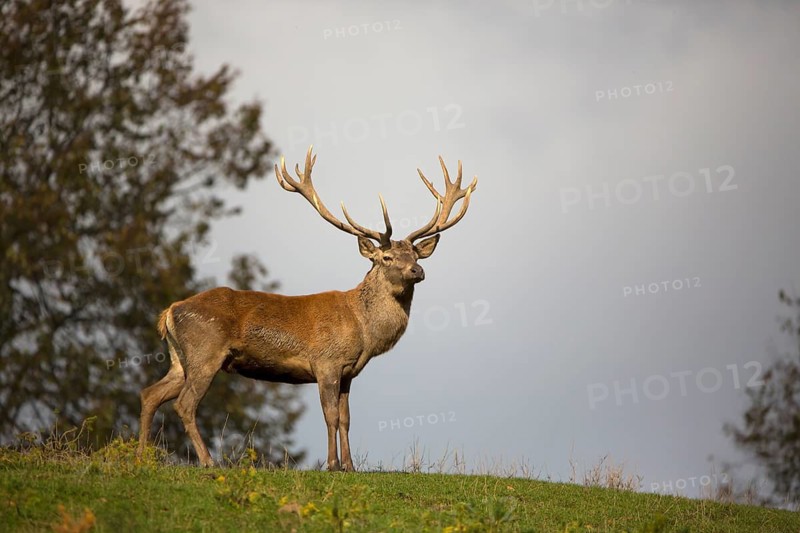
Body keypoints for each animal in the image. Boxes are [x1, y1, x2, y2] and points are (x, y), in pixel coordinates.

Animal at [137, 146, 477, 470]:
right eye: (387, 258)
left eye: (416, 256)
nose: (417, 271)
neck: (363, 330)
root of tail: (169, 312)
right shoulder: (326, 361)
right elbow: (330, 415)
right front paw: (332, 464)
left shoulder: (349, 372)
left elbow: (346, 418)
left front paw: (350, 466)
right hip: (205, 351)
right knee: (185, 403)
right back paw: (207, 461)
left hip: (180, 359)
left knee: (150, 393)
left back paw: (141, 455)